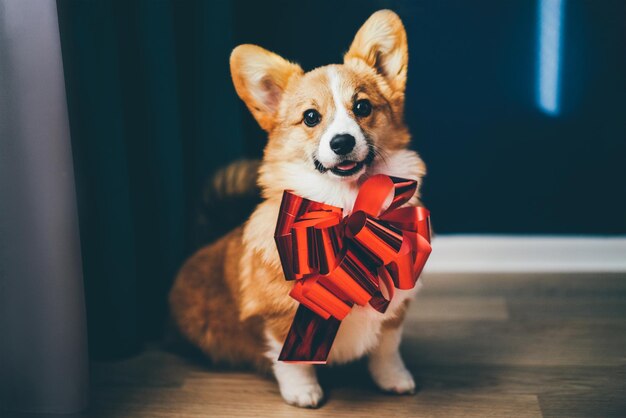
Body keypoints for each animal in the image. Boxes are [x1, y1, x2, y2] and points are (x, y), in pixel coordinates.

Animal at [168, 9, 426, 408]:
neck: (346, 204)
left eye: (363, 107)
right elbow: (291, 359)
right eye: (310, 117)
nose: (342, 142)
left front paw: (395, 380)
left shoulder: (396, 307)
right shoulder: (278, 318)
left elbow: (387, 348)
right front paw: (304, 393)